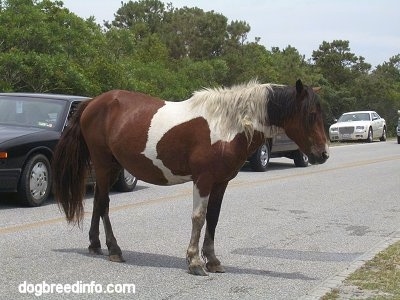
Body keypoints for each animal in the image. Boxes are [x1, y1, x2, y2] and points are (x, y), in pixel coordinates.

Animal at [53, 79, 328, 274]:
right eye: (310, 115)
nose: (323, 154)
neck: (226, 127)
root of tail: (93, 102)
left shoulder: (221, 182)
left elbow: (213, 218)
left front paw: (213, 260)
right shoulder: (203, 180)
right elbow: (199, 217)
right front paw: (194, 261)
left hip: (109, 167)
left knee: (99, 203)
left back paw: (95, 245)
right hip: (103, 164)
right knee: (104, 204)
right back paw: (114, 249)